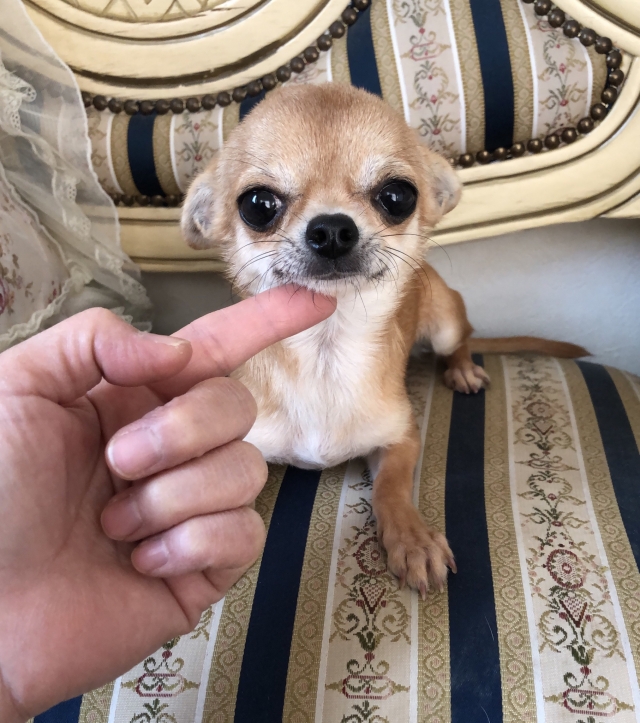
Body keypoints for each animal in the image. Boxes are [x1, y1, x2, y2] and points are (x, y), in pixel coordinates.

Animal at [181, 83, 587, 596]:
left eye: (397, 196)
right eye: (258, 204)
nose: (332, 229)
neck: (326, 351)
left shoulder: (400, 438)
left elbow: (390, 487)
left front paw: (413, 539)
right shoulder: (250, 447)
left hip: (444, 319)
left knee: (462, 340)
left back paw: (463, 370)